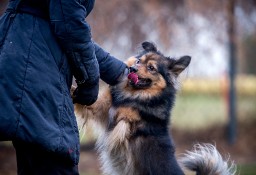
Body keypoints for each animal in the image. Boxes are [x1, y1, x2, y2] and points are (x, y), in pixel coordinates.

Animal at [73, 41, 235, 174]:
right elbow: (98, 102)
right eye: (138, 61)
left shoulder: (126, 120)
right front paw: (74, 91)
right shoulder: (102, 109)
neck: (136, 93)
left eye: (151, 68)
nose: (132, 69)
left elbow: (124, 116)